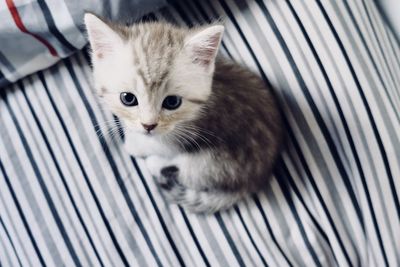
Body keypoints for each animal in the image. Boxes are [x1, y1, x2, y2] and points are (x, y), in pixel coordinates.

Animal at [84, 13, 284, 215]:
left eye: (172, 102)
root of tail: (255, 180)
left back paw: (154, 164)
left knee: (184, 171)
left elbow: (156, 145)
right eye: (128, 98)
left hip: (216, 164)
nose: (149, 125)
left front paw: (134, 144)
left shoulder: (183, 137)